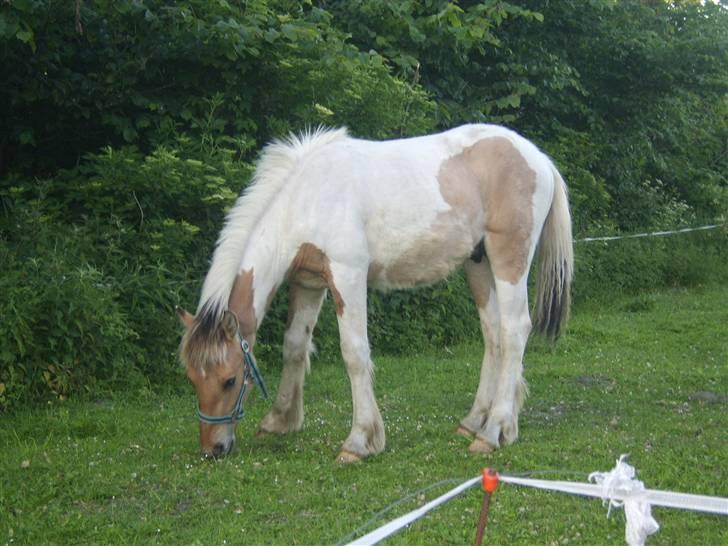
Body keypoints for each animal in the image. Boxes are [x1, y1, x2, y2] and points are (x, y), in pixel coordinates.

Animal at [178, 123, 576, 460]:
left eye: (230, 380)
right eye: (193, 378)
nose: (213, 448)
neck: (307, 198)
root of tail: (538, 158)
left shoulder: (347, 275)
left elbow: (354, 353)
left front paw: (359, 442)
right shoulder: (308, 282)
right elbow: (294, 346)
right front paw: (279, 421)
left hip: (509, 260)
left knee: (514, 331)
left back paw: (494, 431)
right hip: (478, 264)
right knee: (493, 334)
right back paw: (473, 422)